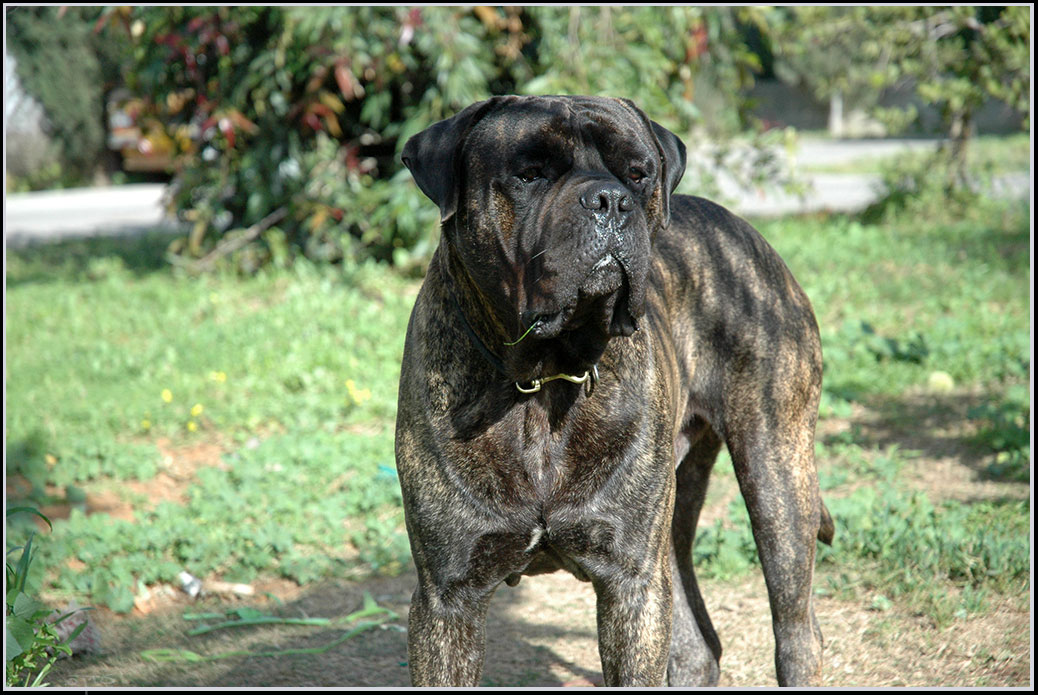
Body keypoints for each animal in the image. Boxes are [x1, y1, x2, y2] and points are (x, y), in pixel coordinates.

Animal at [392, 95, 830, 688]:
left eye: (638, 173)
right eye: (530, 174)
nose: (610, 199)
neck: (544, 379)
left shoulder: (630, 584)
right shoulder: (448, 596)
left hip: (776, 476)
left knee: (796, 630)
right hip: (674, 523)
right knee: (697, 644)